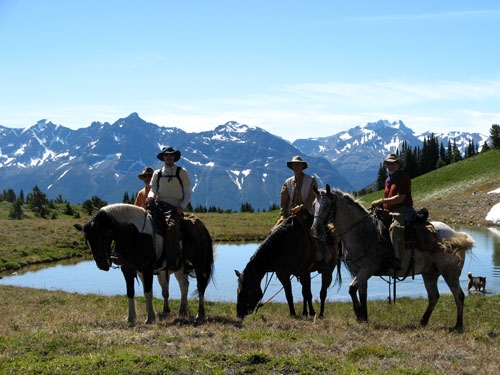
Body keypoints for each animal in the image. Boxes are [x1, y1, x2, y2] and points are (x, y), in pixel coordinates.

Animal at [73, 204, 213, 324]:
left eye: (101, 237)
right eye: (86, 241)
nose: (102, 265)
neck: (135, 234)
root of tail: (202, 227)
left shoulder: (147, 269)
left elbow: (148, 291)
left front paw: (150, 318)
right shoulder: (128, 269)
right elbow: (130, 291)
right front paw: (130, 317)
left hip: (199, 263)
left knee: (200, 285)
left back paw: (200, 315)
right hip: (179, 266)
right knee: (184, 285)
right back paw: (182, 312)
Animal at [310, 186, 474, 332]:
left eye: (327, 205)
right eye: (314, 205)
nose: (315, 229)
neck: (361, 232)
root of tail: (455, 235)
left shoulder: (367, 269)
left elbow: (351, 289)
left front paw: (358, 315)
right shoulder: (358, 271)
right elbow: (361, 293)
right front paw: (364, 318)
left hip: (449, 273)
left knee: (459, 296)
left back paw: (458, 325)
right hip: (430, 273)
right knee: (434, 296)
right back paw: (423, 321)